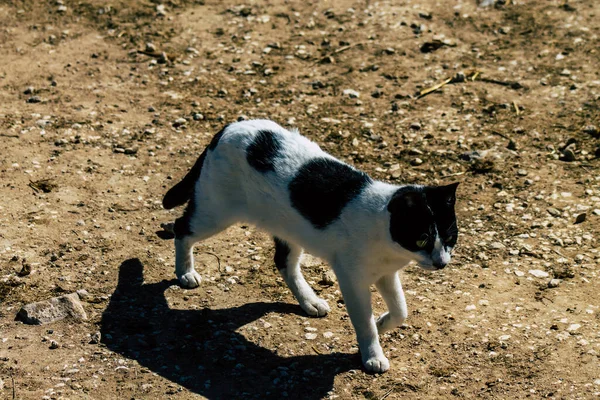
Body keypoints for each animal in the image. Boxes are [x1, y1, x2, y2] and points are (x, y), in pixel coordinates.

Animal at [162, 118, 458, 372]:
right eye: (422, 238)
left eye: (449, 237)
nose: (441, 263)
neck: (389, 243)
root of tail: (230, 126)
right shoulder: (352, 279)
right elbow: (364, 323)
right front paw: (373, 355)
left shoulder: (386, 273)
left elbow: (400, 311)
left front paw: (383, 322)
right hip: (216, 213)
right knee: (181, 228)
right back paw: (185, 272)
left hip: (288, 230)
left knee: (284, 263)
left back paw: (309, 301)